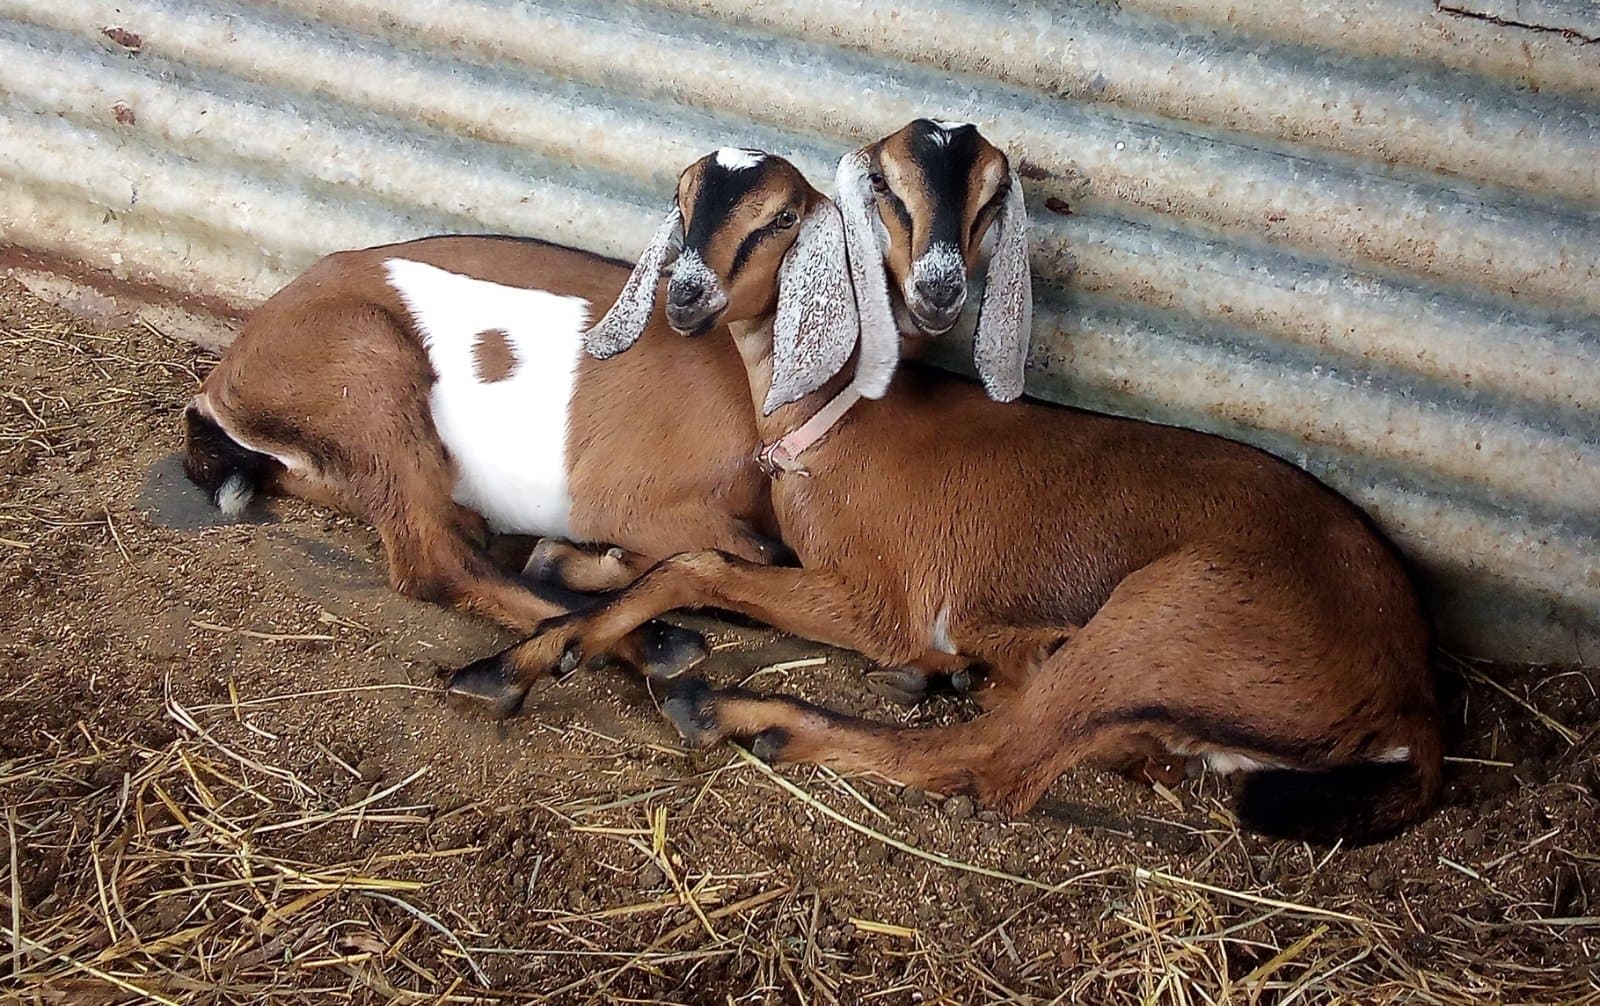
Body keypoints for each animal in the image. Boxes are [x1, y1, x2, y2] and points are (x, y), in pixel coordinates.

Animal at [182, 122, 1026, 716]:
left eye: (991, 195)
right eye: (882, 183)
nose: (937, 290)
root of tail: (226, 378)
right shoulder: (629, 499)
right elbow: (751, 555)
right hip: (374, 379)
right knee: (434, 560)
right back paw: (655, 647)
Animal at [470, 148, 1444, 845]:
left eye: (782, 215)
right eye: (683, 198)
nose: (686, 296)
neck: (844, 423)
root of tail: (1411, 689)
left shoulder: (880, 600)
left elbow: (697, 563)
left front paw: (530, 659)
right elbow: (690, 556)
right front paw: (580, 581)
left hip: (1173, 615)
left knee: (994, 761)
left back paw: (742, 712)